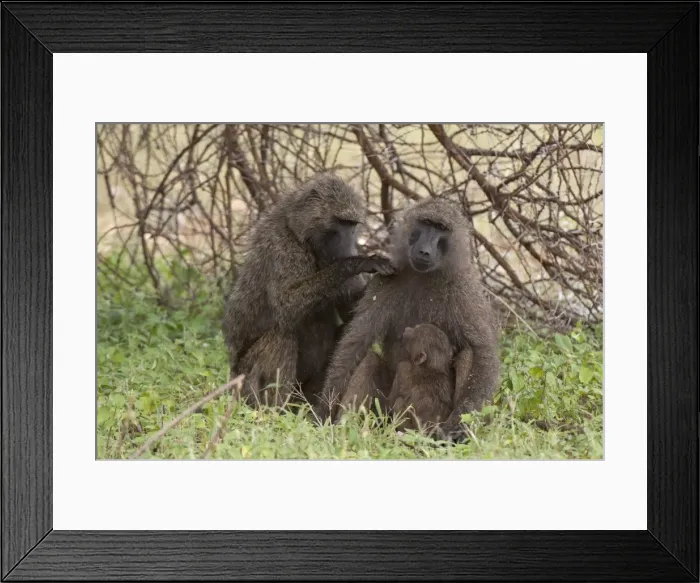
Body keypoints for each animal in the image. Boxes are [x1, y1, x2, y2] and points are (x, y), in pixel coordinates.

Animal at [222, 172, 396, 409]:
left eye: (352, 225)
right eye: (341, 222)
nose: (349, 244)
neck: (300, 234)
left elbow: (352, 315)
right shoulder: (281, 246)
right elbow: (286, 304)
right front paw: (360, 262)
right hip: (244, 382)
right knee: (281, 336)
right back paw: (275, 410)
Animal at [320, 197, 500, 441]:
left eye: (441, 228)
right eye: (426, 223)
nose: (424, 251)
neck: (423, 275)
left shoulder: (464, 289)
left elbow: (483, 352)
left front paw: (457, 426)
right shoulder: (385, 281)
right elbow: (355, 343)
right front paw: (323, 411)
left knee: (468, 355)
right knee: (368, 360)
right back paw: (346, 429)